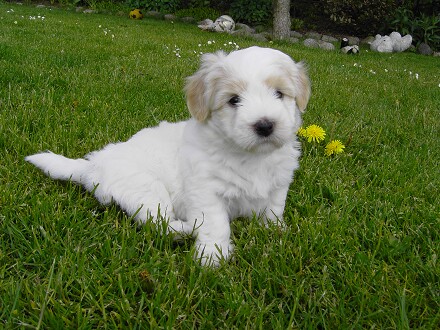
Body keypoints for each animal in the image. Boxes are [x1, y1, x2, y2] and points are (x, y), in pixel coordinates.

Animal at [26, 46, 310, 266]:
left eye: (279, 94)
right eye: (233, 100)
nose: (265, 125)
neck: (250, 156)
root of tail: (93, 165)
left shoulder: (278, 183)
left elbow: (273, 209)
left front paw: (276, 231)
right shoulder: (206, 192)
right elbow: (215, 223)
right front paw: (211, 257)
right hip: (145, 189)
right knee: (158, 223)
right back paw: (188, 229)